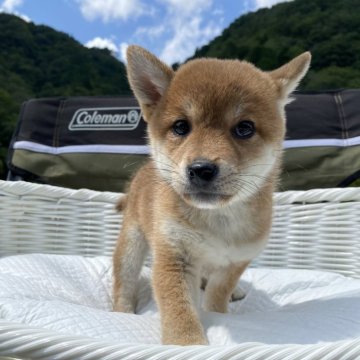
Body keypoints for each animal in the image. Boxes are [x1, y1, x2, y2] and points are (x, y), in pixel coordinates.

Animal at [114, 45, 310, 346]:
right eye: (181, 126)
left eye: (245, 128)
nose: (201, 169)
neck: (217, 222)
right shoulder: (174, 256)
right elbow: (179, 308)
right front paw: (187, 343)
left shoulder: (236, 261)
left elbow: (218, 296)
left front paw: (217, 313)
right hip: (132, 242)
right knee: (124, 279)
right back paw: (121, 310)